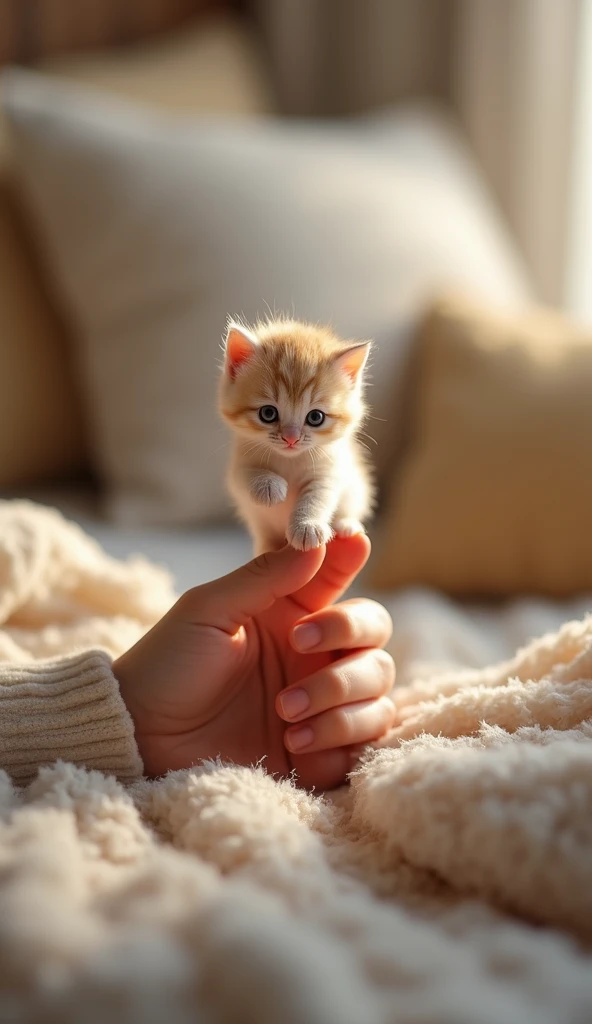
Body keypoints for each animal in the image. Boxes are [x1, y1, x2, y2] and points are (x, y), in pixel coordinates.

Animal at [217, 317, 372, 552]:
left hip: (356, 489)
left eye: (316, 417)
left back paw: (346, 525)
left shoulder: (330, 469)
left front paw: (307, 526)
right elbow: (244, 474)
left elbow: (318, 495)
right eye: (268, 413)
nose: (291, 438)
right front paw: (268, 486)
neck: (288, 460)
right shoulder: (237, 468)